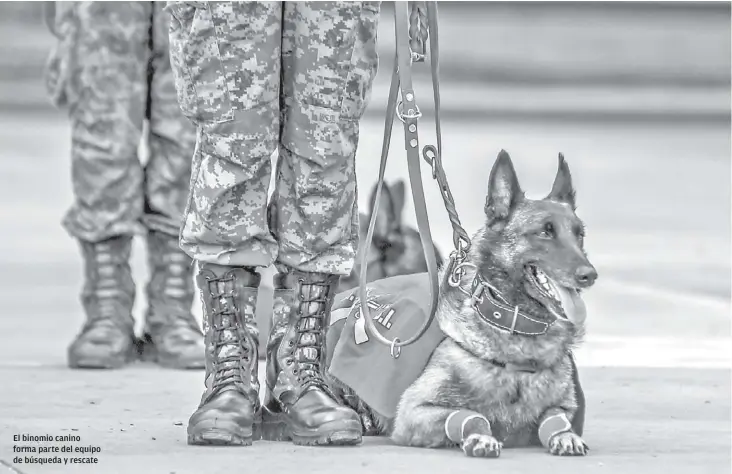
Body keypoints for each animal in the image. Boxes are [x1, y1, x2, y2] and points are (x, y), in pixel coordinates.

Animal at [324, 150, 596, 458]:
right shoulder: (413, 413)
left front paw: (565, 436)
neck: (516, 333)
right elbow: (471, 415)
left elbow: (556, 417)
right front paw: (480, 436)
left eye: (579, 234)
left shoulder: (567, 410)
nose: (589, 275)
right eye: (545, 232)